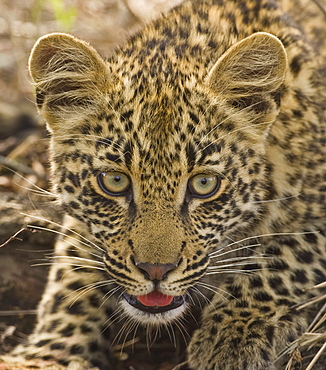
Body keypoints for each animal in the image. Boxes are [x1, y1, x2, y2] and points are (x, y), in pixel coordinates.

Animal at [2, 0, 326, 368]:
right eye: (114, 181)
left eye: (204, 183)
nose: (156, 271)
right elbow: (70, 277)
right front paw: (45, 354)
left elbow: (282, 257)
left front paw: (233, 334)